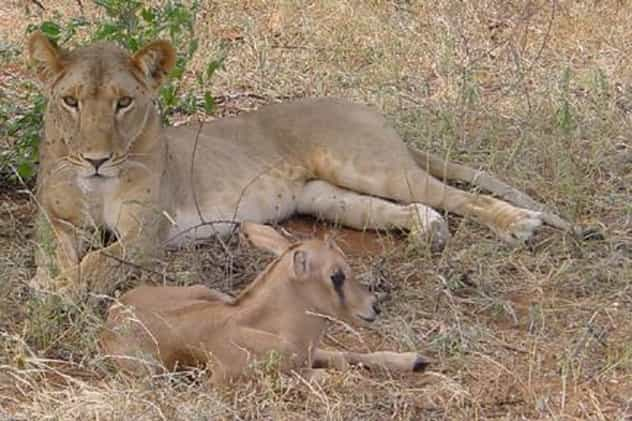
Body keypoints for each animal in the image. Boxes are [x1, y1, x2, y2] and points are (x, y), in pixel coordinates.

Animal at [100, 221, 430, 382]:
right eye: (336, 276)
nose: (374, 306)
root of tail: (115, 311)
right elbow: (333, 374)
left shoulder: (311, 353)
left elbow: (345, 356)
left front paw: (415, 360)